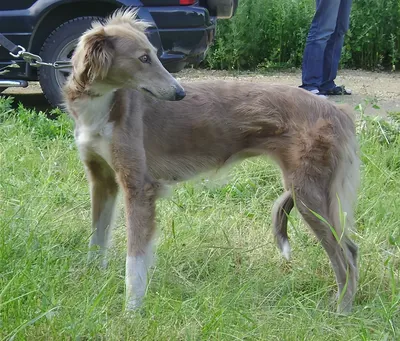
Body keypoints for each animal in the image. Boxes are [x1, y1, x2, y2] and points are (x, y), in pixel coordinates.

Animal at [61, 8, 360, 314]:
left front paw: (131, 312)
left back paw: (342, 310)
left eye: (154, 54)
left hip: (309, 194)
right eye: (143, 58)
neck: (103, 105)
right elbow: (97, 239)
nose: (180, 93)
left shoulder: (139, 188)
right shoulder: (102, 181)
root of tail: (337, 111)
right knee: (350, 249)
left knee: (345, 256)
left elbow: (134, 262)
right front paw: (92, 284)